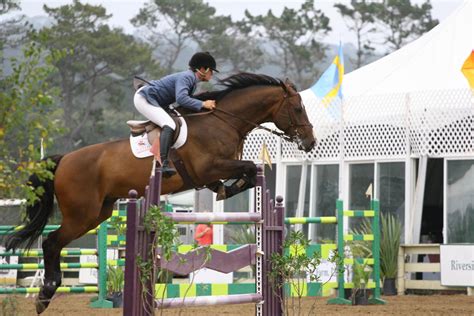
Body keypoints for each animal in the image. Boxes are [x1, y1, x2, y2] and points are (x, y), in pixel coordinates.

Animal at [3, 72, 316, 314]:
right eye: (298, 108)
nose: (311, 142)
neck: (222, 121)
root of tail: (64, 159)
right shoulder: (210, 167)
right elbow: (250, 168)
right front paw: (232, 188)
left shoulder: (215, 170)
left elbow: (247, 173)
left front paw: (228, 189)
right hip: (82, 214)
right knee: (51, 242)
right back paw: (46, 294)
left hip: (98, 212)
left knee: (55, 242)